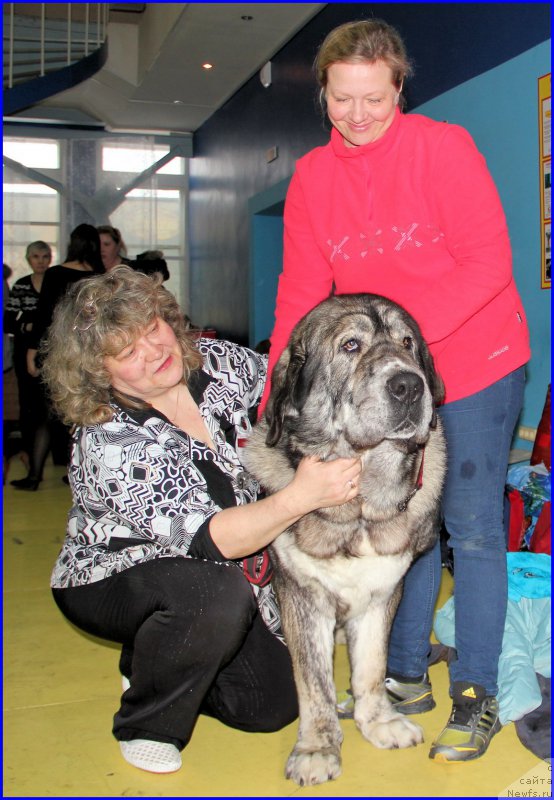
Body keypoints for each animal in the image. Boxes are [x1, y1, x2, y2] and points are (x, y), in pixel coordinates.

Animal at [244, 290, 446, 784]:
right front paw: (318, 747)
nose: (410, 386)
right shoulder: (302, 598)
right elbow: (313, 683)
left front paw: (377, 723)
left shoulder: (382, 594)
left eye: (408, 343)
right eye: (351, 346)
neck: (358, 513)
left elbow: (371, 668)